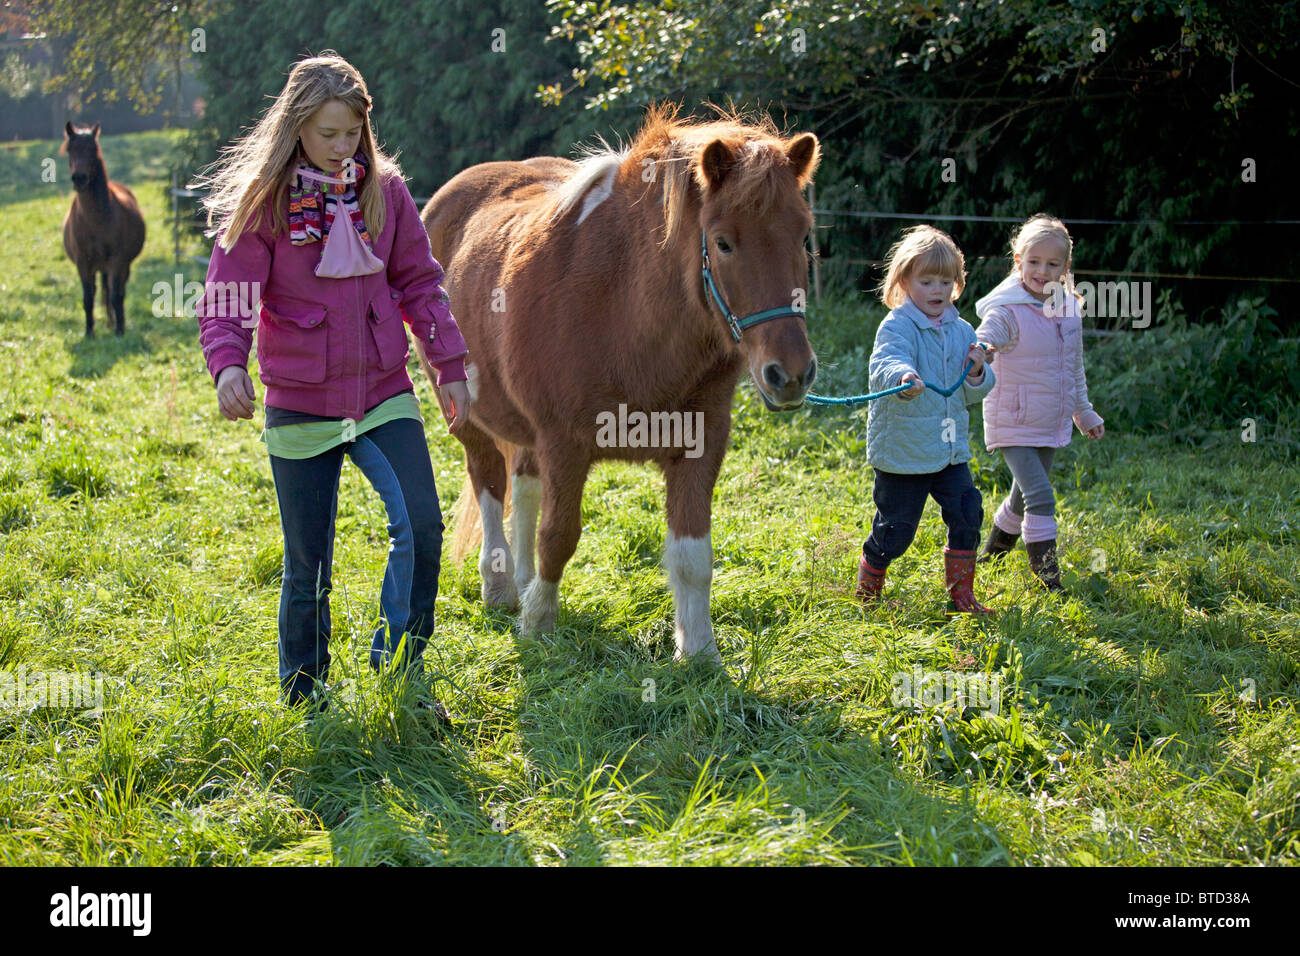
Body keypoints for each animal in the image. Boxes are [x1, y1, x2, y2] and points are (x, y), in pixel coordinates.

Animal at [60, 122, 145, 335]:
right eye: (70, 150)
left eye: (93, 149)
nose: (79, 178)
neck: (96, 220)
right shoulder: (83, 263)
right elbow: (88, 298)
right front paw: (89, 332)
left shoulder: (117, 261)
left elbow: (116, 296)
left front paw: (120, 331)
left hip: (121, 266)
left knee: (117, 292)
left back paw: (114, 322)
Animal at [418, 102, 821, 658]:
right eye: (722, 243)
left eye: (802, 236)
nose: (791, 373)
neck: (625, 305)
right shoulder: (564, 443)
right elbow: (558, 535)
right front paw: (538, 622)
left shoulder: (701, 441)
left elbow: (692, 555)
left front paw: (699, 651)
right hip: (464, 416)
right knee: (490, 483)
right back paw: (501, 588)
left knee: (522, 487)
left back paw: (519, 579)